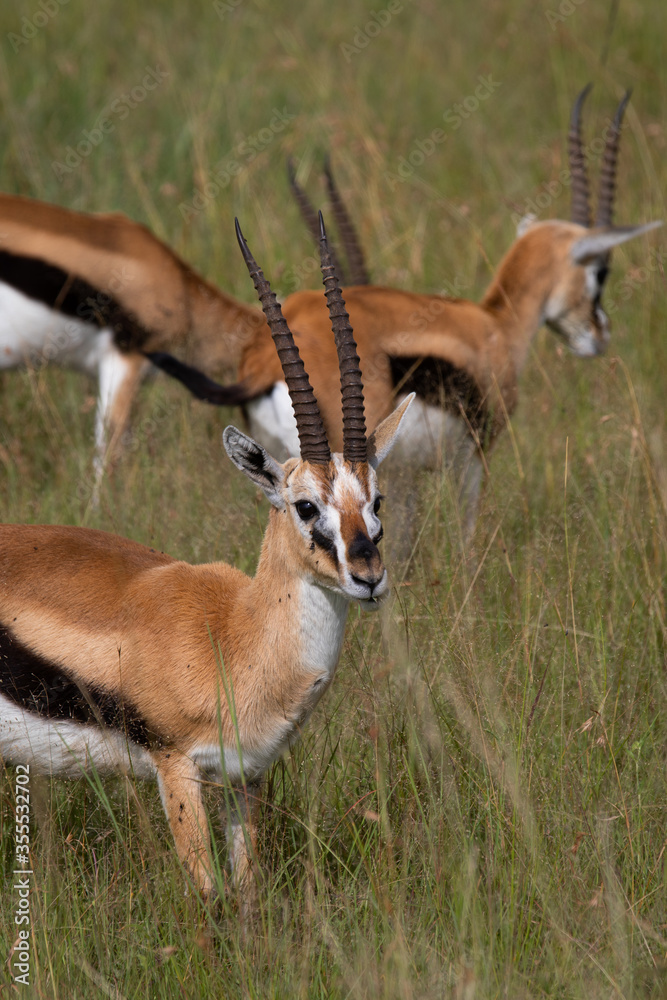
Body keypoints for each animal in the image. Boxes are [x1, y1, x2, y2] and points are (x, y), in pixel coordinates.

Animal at [0, 214, 413, 900]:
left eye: (376, 498)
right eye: (305, 505)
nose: (368, 576)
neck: (237, 632)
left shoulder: (246, 779)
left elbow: (246, 890)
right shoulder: (177, 770)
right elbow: (209, 892)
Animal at [152, 87, 661, 540]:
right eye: (600, 271)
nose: (599, 334)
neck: (494, 325)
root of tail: (259, 365)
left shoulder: (404, 475)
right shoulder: (471, 459)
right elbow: (465, 539)